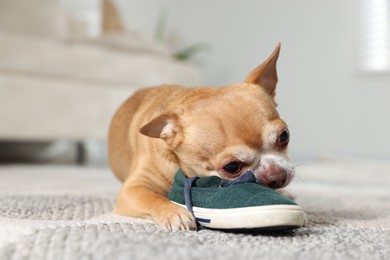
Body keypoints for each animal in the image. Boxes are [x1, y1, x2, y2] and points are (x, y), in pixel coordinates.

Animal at [106, 43, 292, 232]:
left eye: (284, 136)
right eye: (232, 167)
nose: (277, 175)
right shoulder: (132, 189)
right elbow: (153, 198)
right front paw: (175, 213)